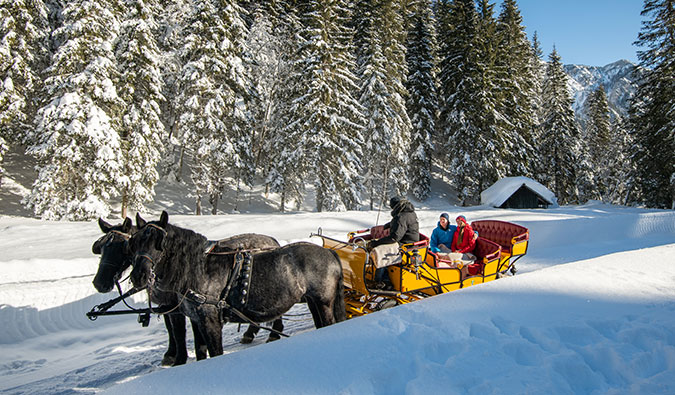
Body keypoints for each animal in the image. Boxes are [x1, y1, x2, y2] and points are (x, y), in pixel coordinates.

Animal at [129, 213, 346, 358]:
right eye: (134, 242)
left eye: (159, 243)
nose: (138, 276)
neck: (200, 270)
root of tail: (330, 253)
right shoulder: (196, 321)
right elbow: (200, 353)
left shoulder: (210, 320)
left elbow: (215, 352)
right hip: (312, 301)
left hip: (324, 302)